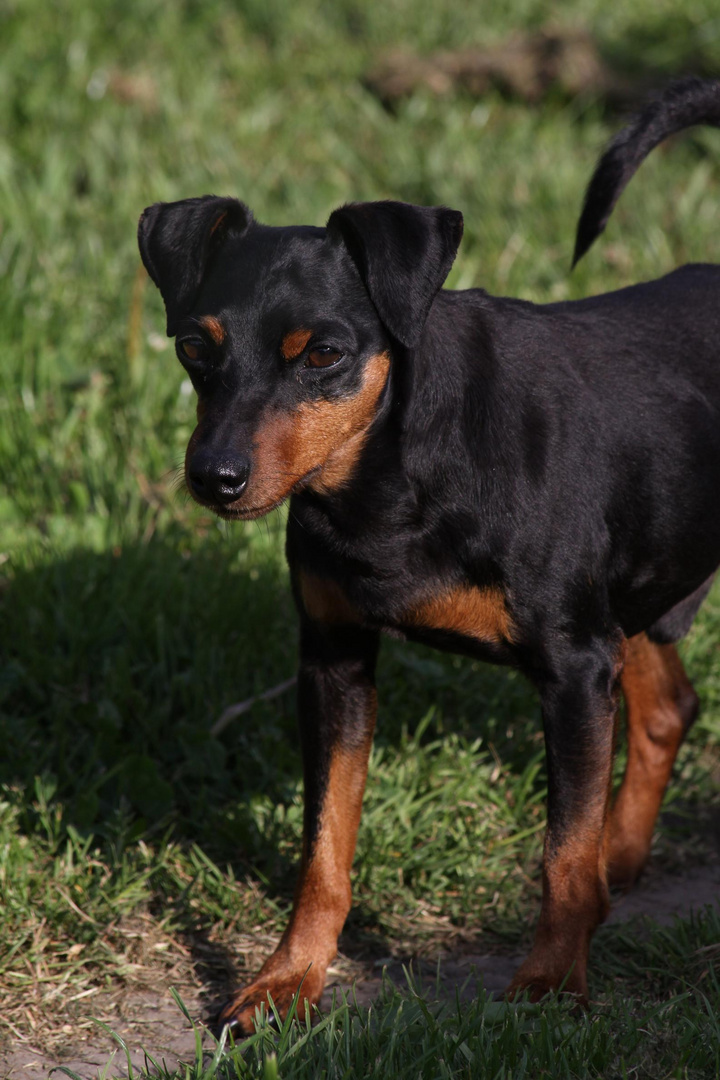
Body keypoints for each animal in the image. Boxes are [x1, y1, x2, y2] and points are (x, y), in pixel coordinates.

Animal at [139, 79, 720, 1032]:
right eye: (195, 346)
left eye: (325, 354)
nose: (213, 477)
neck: (394, 471)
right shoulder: (334, 659)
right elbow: (324, 850)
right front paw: (286, 981)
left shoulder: (571, 668)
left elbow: (561, 854)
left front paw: (550, 986)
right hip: (630, 593)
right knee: (669, 703)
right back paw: (624, 862)